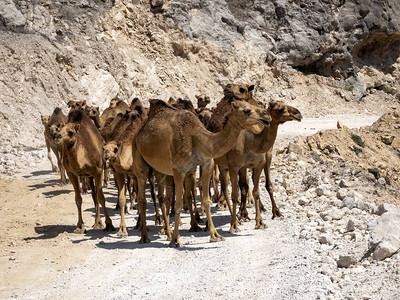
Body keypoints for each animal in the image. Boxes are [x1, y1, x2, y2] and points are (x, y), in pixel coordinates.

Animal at [133, 98, 270, 246]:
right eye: (247, 110)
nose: (266, 115)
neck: (197, 137)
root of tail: (139, 132)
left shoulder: (205, 165)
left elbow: (206, 200)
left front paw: (215, 235)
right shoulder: (178, 170)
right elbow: (179, 204)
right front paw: (176, 240)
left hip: (161, 170)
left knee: (164, 198)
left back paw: (167, 233)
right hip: (140, 162)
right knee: (142, 199)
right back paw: (145, 236)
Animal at [217, 101, 302, 232]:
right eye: (280, 108)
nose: (298, 113)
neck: (251, 142)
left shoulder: (259, 163)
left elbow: (257, 190)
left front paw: (261, 220)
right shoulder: (235, 166)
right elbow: (236, 193)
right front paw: (236, 222)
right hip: (220, 165)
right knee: (224, 189)